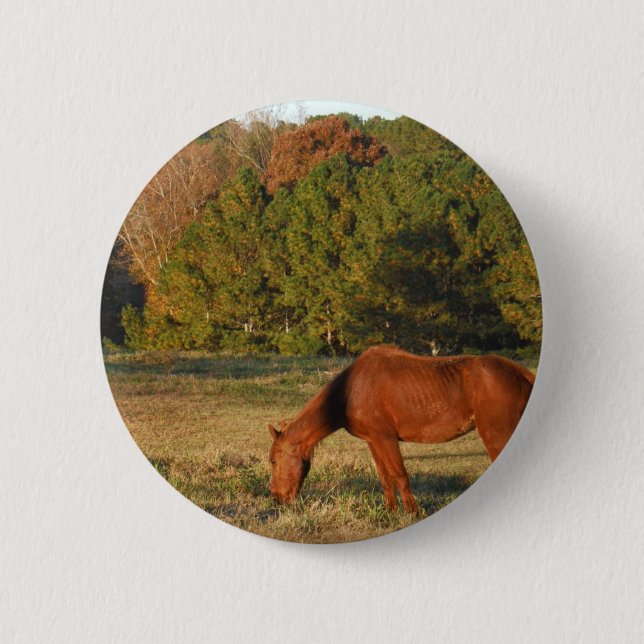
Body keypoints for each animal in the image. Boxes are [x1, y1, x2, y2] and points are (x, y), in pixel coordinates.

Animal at [268, 344, 535, 513]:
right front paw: (390, 512)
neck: (350, 391)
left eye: (273, 460)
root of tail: (521, 373)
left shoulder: (386, 439)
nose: (277, 498)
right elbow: (385, 477)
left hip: (495, 435)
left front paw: (412, 513)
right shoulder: (373, 440)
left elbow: (400, 476)